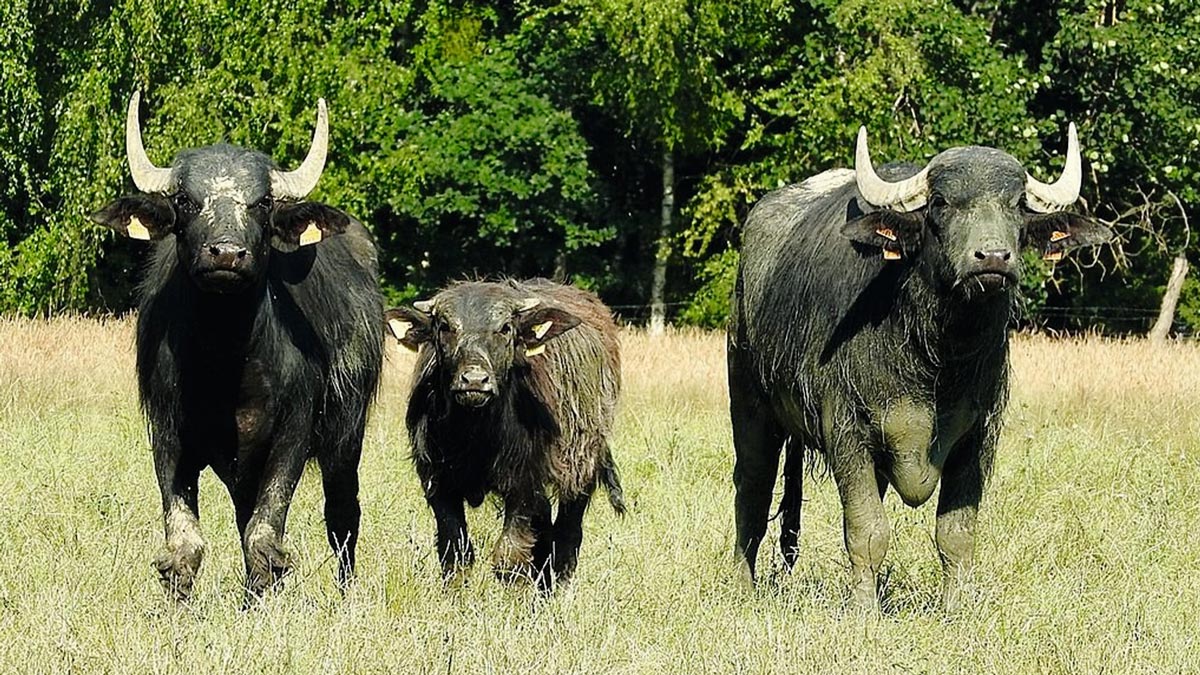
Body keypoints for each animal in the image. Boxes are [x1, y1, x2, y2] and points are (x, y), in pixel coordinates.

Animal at [91, 90, 381, 598]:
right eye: (185, 200)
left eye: (262, 203)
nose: (226, 253)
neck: (226, 361)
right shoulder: (168, 433)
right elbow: (186, 542)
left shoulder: (292, 433)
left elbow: (265, 535)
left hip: (348, 435)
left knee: (343, 516)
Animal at [386, 278, 628, 588]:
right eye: (445, 327)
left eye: (504, 328)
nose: (474, 380)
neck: (475, 434)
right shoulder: (437, 483)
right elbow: (456, 553)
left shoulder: (524, 484)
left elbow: (509, 556)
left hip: (582, 468)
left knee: (567, 533)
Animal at [724, 123, 1108, 607]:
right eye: (941, 202)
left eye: (1018, 204)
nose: (993, 258)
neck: (935, 358)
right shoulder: (847, 430)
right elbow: (867, 530)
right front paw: (864, 607)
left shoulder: (978, 435)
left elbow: (956, 534)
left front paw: (956, 606)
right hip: (749, 403)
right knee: (752, 490)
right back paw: (742, 586)